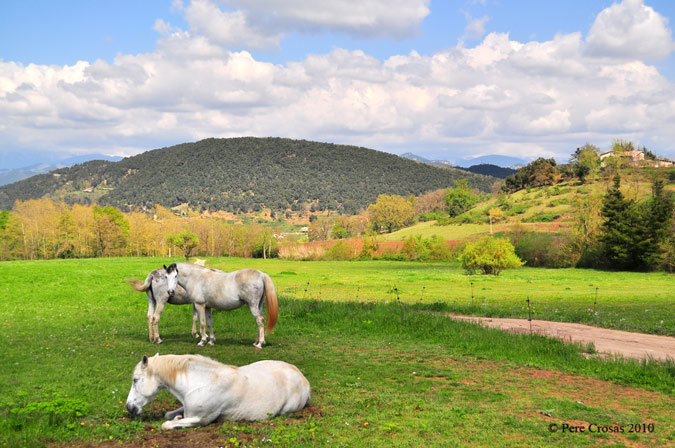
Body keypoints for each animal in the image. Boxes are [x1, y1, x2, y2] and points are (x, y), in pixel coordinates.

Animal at [125, 354, 310, 430]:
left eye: (135, 380)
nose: (129, 407)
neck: (202, 383)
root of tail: (303, 379)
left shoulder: (201, 419)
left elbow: (167, 424)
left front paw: (176, 421)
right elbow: (168, 415)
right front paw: (176, 416)